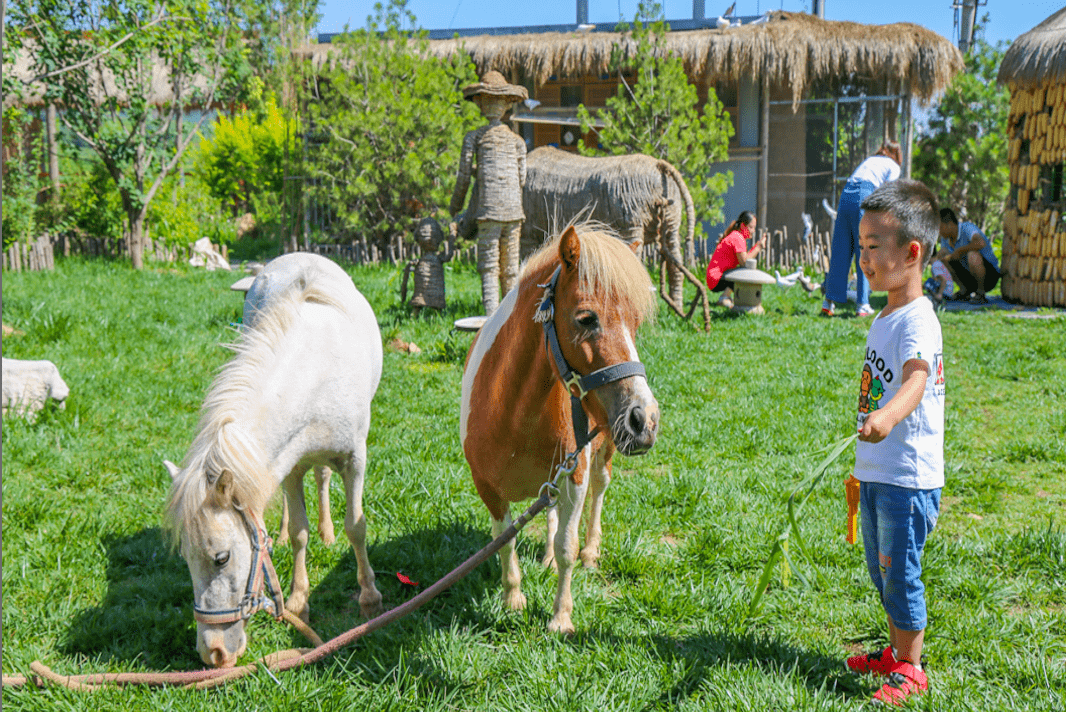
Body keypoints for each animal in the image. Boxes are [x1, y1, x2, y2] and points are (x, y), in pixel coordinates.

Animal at [166, 254, 383, 669]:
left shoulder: (355, 460)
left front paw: (369, 597)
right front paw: (298, 601)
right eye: (184, 559)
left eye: (221, 558)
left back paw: (328, 531)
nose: (213, 654)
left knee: (323, 478)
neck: (315, 373)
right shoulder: (290, 464)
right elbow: (299, 531)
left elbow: (356, 526)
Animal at [460, 223, 656, 635]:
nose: (645, 419)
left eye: (635, 324)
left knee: (600, 489)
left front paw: (560, 617)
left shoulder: (574, 475)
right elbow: (504, 541)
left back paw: (591, 552)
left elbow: (568, 545)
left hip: (603, 449)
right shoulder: (486, 487)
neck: (512, 413)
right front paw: (513, 600)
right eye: (587, 319)